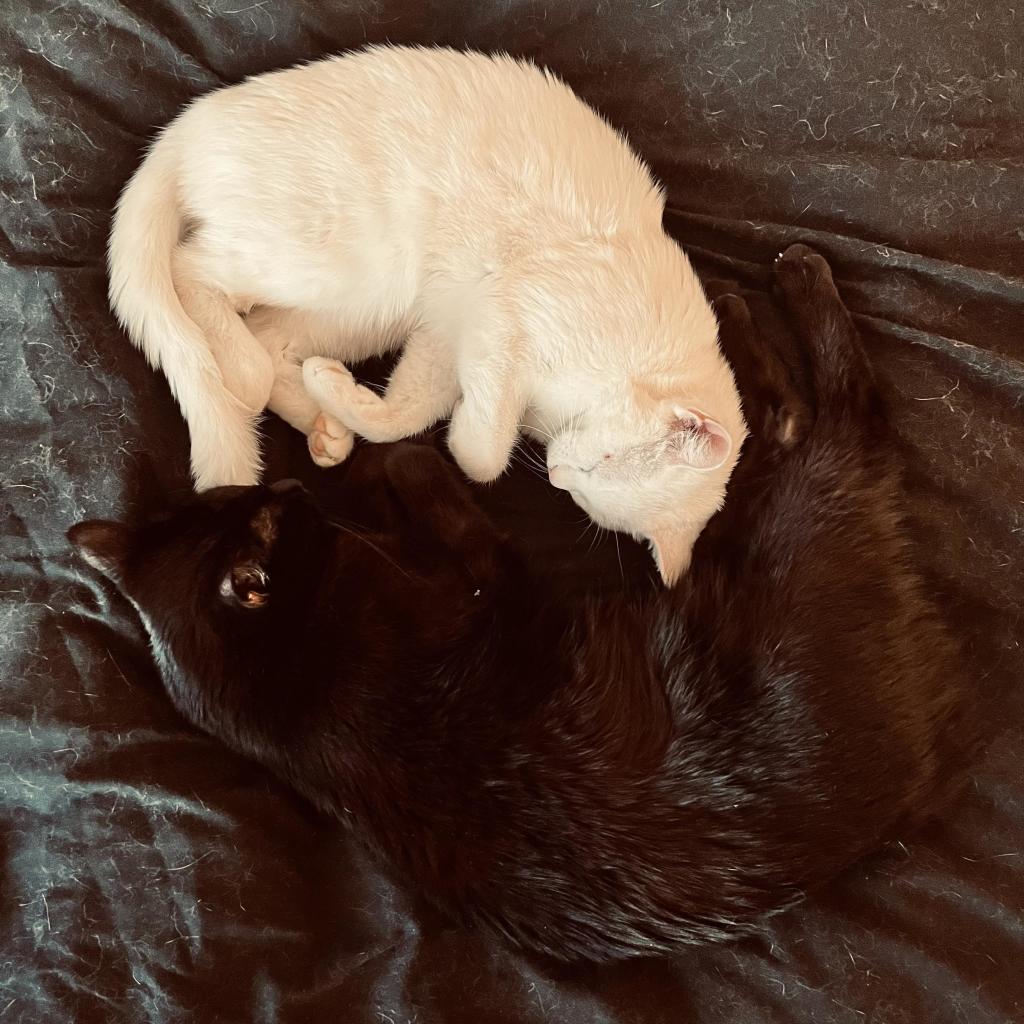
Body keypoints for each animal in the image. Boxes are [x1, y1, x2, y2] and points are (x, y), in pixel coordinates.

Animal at [68, 245, 970, 958]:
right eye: (259, 515)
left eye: (242, 501)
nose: (288, 485)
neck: (300, 695)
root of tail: (918, 767)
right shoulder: (481, 570)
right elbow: (419, 467)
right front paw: (381, 455)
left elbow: (401, 468)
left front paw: (351, 456)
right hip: (788, 513)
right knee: (826, 413)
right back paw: (780, 283)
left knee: (793, 418)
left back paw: (749, 298)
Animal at [108, 41, 745, 585]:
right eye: (603, 461)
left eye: (581, 498)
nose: (557, 475)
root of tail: (185, 125)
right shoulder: (504, 314)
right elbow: (483, 457)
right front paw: (467, 434)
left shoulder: (451, 332)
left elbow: (408, 415)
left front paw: (348, 398)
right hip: (333, 260)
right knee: (192, 272)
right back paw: (244, 371)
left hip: (363, 306)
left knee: (269, 337)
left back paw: (323, 422)